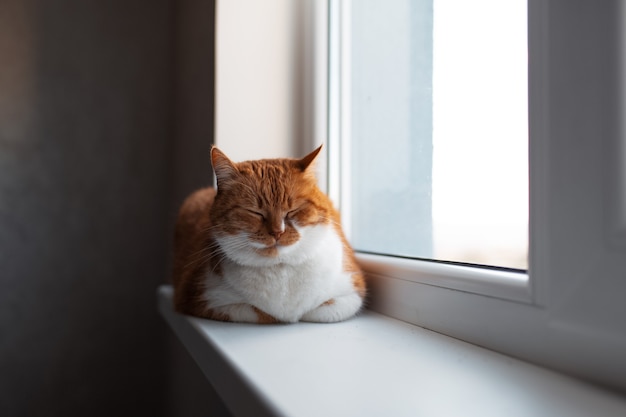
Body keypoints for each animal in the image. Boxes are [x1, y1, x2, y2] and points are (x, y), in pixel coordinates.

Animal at [172, 145, 366, 324]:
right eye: (255, 212)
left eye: (292, 211)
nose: (277, 232)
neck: (280, 268)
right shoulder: (203, 298)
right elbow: (263, 313)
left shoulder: (352, 293)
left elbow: (315, 311)